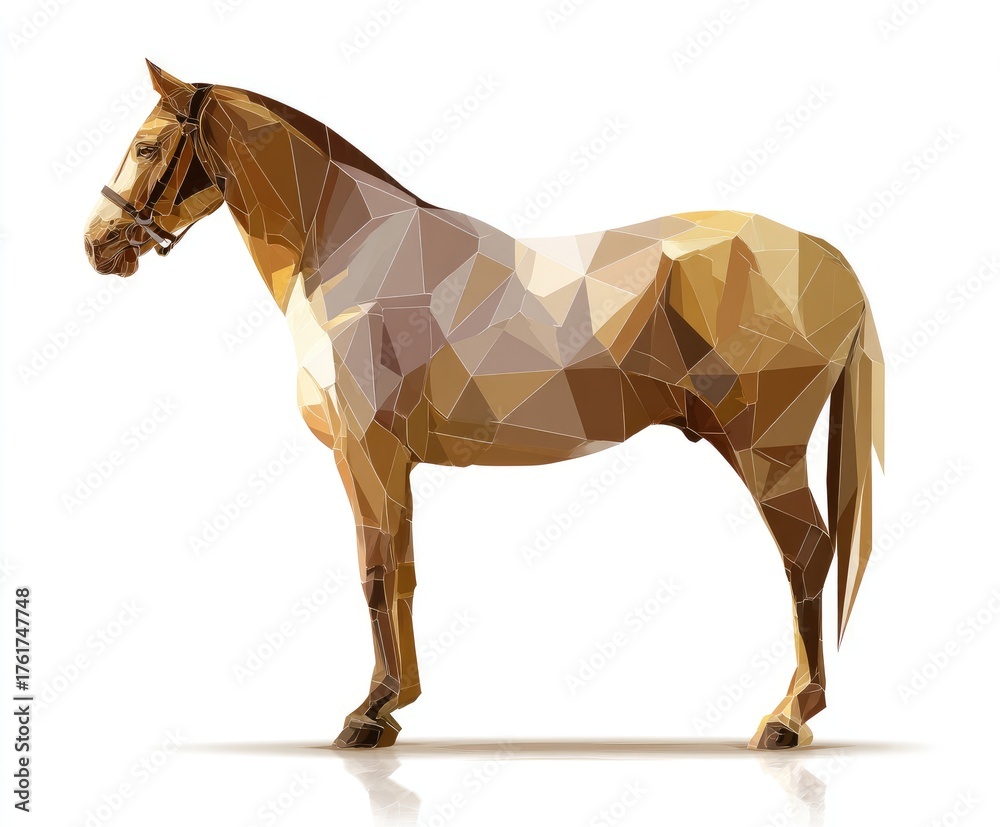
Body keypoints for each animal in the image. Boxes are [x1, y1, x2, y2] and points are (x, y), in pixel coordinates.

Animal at [84, 61, 884, 750]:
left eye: (148, 145)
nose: (98, 245)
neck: (350, 253)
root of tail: (827, 259)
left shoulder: (364, 451)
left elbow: (374, 572)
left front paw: (366, 713)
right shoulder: (392, 462)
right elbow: (402, 572)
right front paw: (394, 706)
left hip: (765, 449)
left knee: (807, 556)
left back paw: (788, 717)